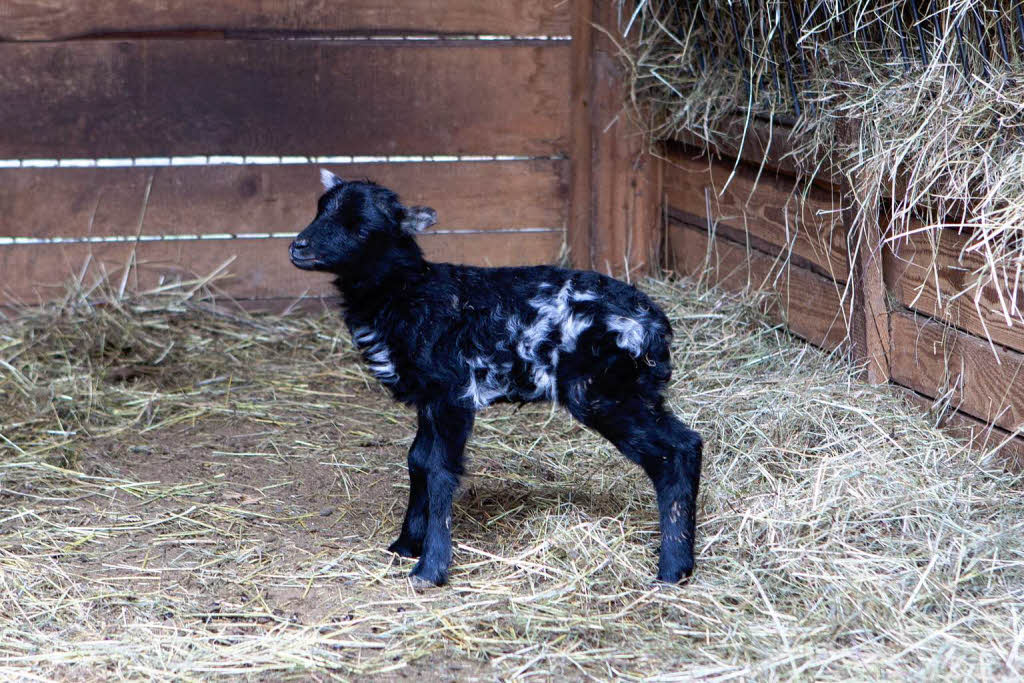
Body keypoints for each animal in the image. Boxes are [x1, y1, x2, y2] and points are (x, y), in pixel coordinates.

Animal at [290, 167, 704, 585]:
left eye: (361, 228)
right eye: (319, 210)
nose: (298, 246)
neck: (406, 294)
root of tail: (656, 325)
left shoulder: (453, 394)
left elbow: (440, 470)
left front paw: (431, 567)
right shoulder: (429, 398)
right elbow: (417, 459)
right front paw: (405, 545)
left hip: (605, 390)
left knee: (676, 451)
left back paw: (672, 569)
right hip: (634, 391)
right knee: (686, 443)